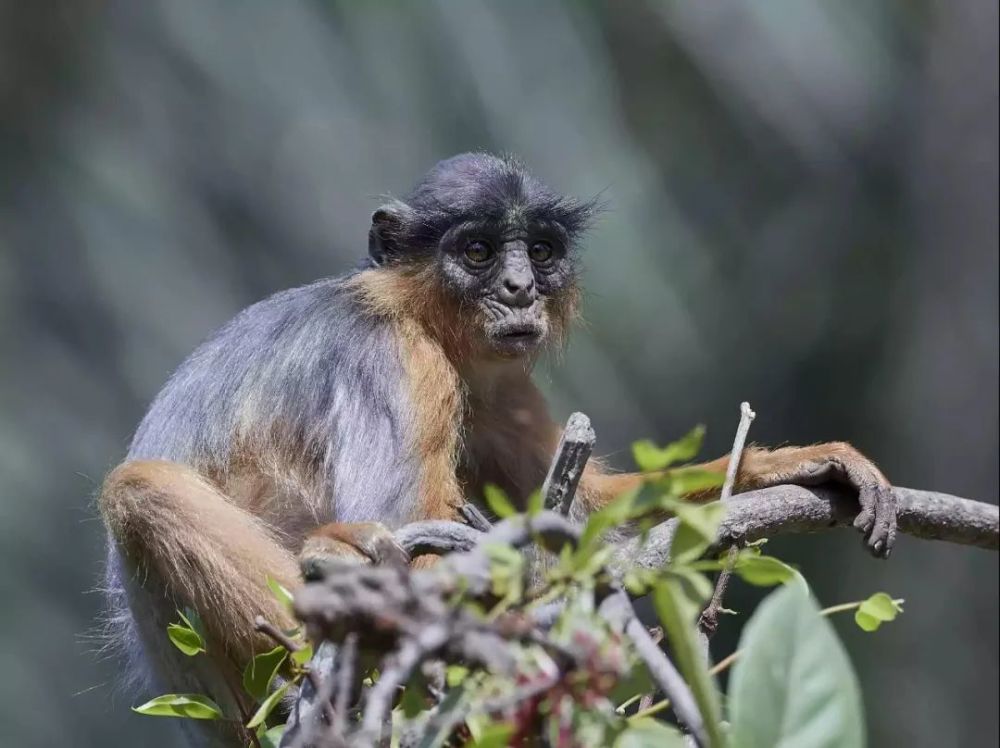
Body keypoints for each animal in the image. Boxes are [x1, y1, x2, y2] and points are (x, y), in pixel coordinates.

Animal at [97, 152, 896, 744]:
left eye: (539, 253)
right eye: (478, 252)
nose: (518, 289)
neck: (417, 312)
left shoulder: (494, 377)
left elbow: (590, 509)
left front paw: (804, 463)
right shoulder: (400, 361)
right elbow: (410, 531)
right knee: (136, 489)